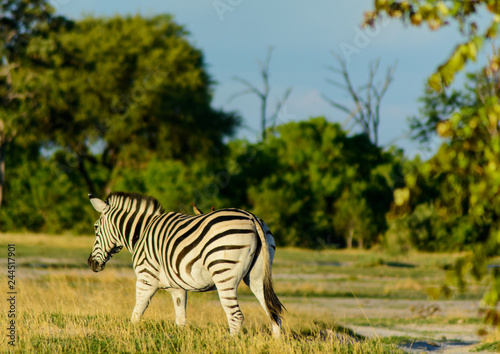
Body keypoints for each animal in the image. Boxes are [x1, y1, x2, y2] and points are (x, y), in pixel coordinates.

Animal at [87, 192, 286, 336]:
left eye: (96, 227)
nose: (91, 263)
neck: (141, 233)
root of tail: (252, 218)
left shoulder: (146, 277)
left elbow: (137, 312)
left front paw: (130, 334)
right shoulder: (177, 287)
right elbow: (181, 320)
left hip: (223, 274)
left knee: (236, 316)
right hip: (257, 276)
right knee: (273, 312)